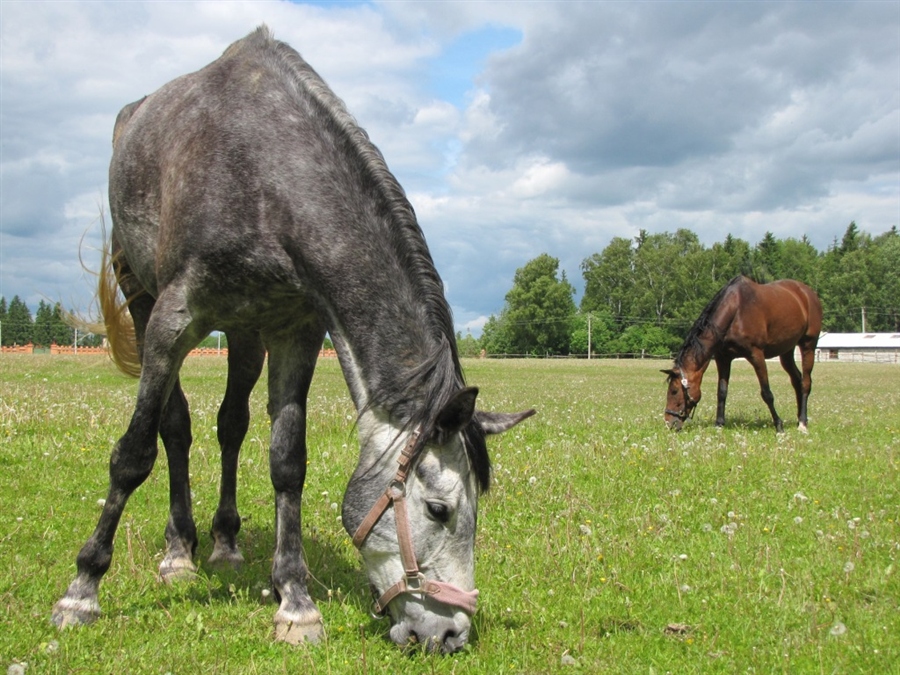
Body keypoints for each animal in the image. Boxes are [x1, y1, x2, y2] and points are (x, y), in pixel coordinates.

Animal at [51, 26, 536, 656]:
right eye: (438, 509)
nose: (451, 633)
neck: (268, 178)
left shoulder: (296, 332)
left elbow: (287, 463)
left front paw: (295, 601)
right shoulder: (172, 321)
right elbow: (133, 456)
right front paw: (82, 589)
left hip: (245, 333)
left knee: (231, 425)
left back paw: (226, 543)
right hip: (142, 301)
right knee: (174, 429)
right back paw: (179, 552)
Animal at [660, 274, 824, 434]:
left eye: (674, 391)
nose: (669, 423)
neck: (736, 311)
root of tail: (808, 293)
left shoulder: (756, 355)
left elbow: (767, 393)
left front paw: (779, 425)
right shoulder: (723, 358)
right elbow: (722, 391)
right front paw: (719, 424)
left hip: (808, 345)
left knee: (805, 382)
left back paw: (802, 423)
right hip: (786, 351)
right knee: (797, 380)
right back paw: (799, 419)